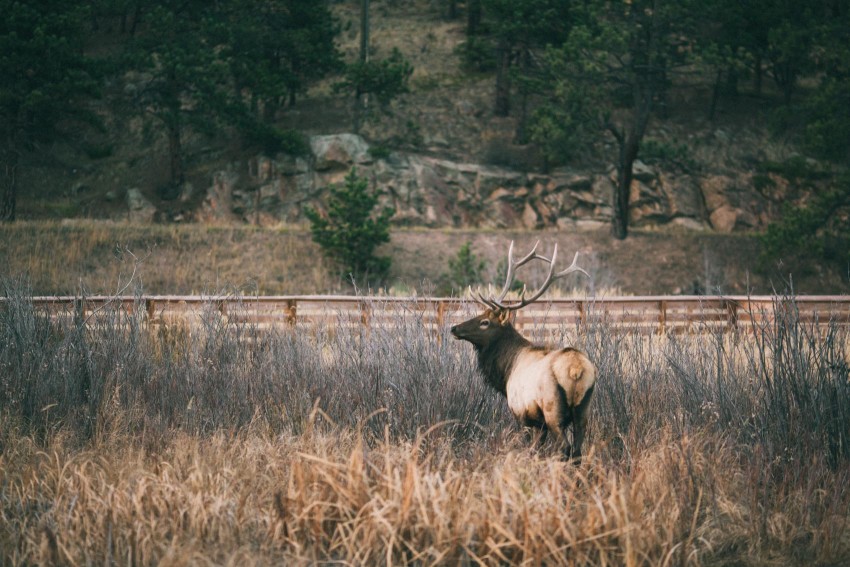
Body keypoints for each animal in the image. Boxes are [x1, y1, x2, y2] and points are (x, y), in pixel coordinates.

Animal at [448, 243, 592, 462]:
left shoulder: (522, 414)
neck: (506, 372)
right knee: (577, 451)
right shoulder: (539, 423)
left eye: (485, 322)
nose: (454, 328)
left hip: (552, 408)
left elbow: (530, 448)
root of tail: (576, 370)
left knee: (565, 447)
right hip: (583, 410)